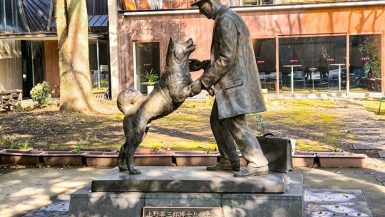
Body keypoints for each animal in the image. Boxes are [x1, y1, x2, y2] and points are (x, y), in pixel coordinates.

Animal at [116, 37, 195, 175]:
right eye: (182, 42)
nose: (190, 38)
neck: (178, 68)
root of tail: (128, 110)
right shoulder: (179, 94)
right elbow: (189, 87)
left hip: (140, 133)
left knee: (123, 147)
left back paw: (123, 168)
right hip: (137, 134)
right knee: (130, 151)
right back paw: (132, 170)